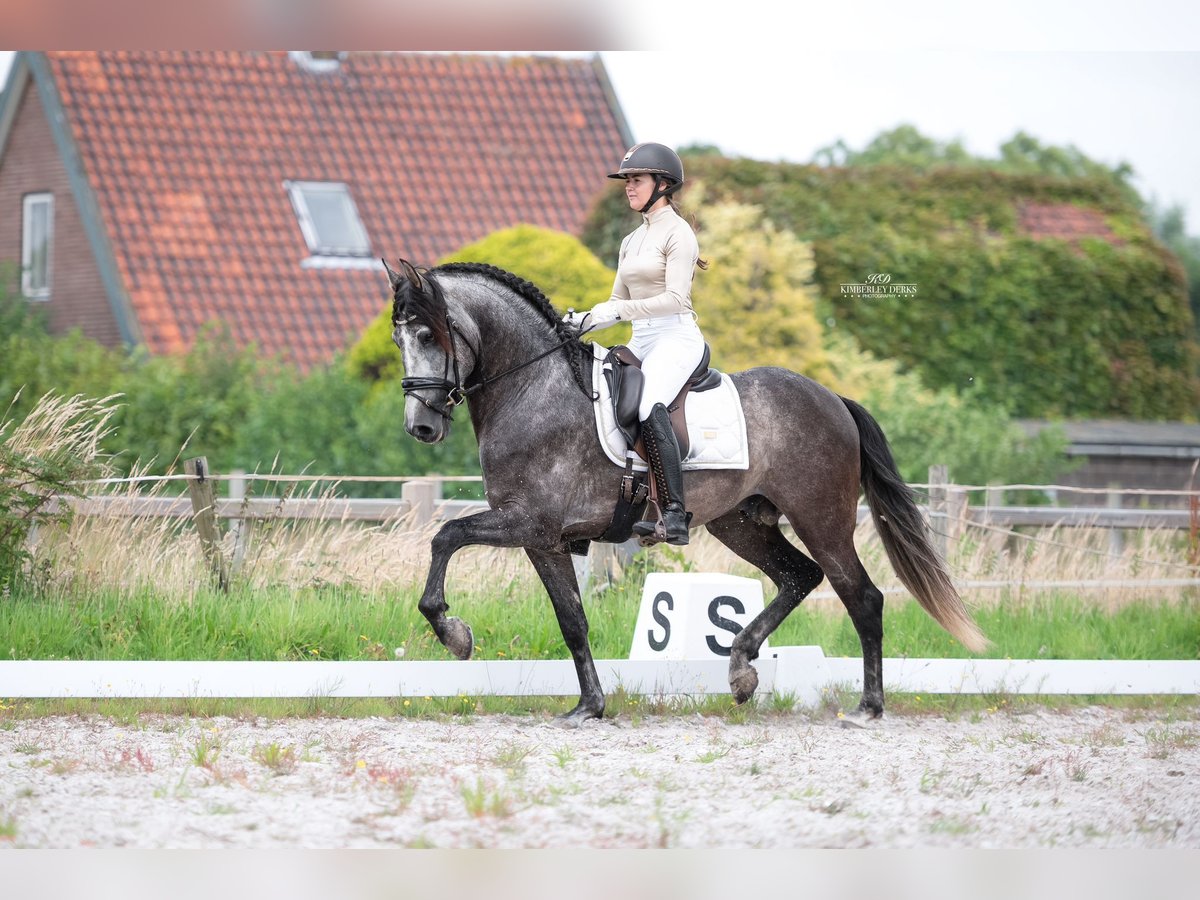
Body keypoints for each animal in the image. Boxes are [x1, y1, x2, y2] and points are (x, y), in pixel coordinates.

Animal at [384, 259, 984, 724]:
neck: (532, 387)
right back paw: (742, 669)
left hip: (822, 517)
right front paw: (589, 707)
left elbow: (445, 535)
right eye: (397, 340)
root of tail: (833, 398)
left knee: (860, 595)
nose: (421, 427)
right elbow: (572, 621)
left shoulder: (528, 521)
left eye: (427, 335)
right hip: (739, 522)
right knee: (800, 577)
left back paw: (867, 708)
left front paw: (454, 635)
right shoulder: (543, 538)